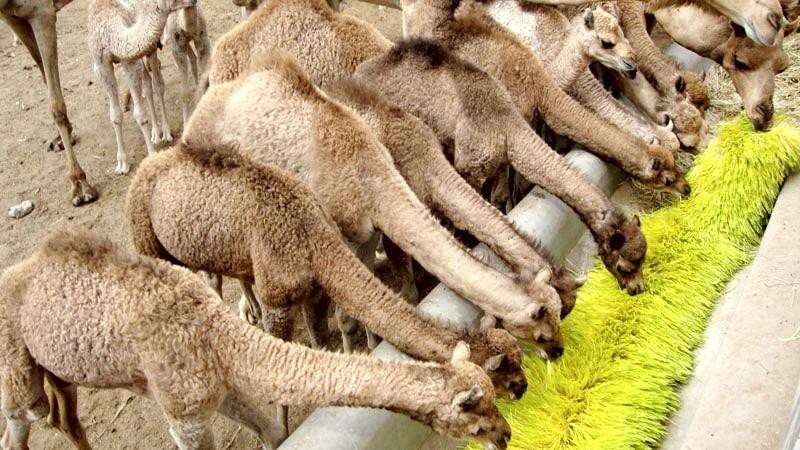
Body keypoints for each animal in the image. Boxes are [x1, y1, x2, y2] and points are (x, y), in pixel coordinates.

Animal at [0, 229, 512, 450]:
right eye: (477, 417)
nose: (506, 435)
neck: (217, 335)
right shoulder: (186, 416)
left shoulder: (216, 390)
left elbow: (271, 432)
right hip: (15, 371)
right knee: (20, 421)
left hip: (60, 370)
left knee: (63, 416)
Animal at [1, 0, 97, 206]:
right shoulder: (11, 17)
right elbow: (44, 73)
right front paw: (63, 136)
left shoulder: (41, 12)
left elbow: (56, 105)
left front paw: (79, 184)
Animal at [354, 39, 650, 295]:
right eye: (623, 265)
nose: (637, 289)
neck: (506, 125)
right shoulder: (469, 166)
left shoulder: (494, 166)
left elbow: (498, 199)